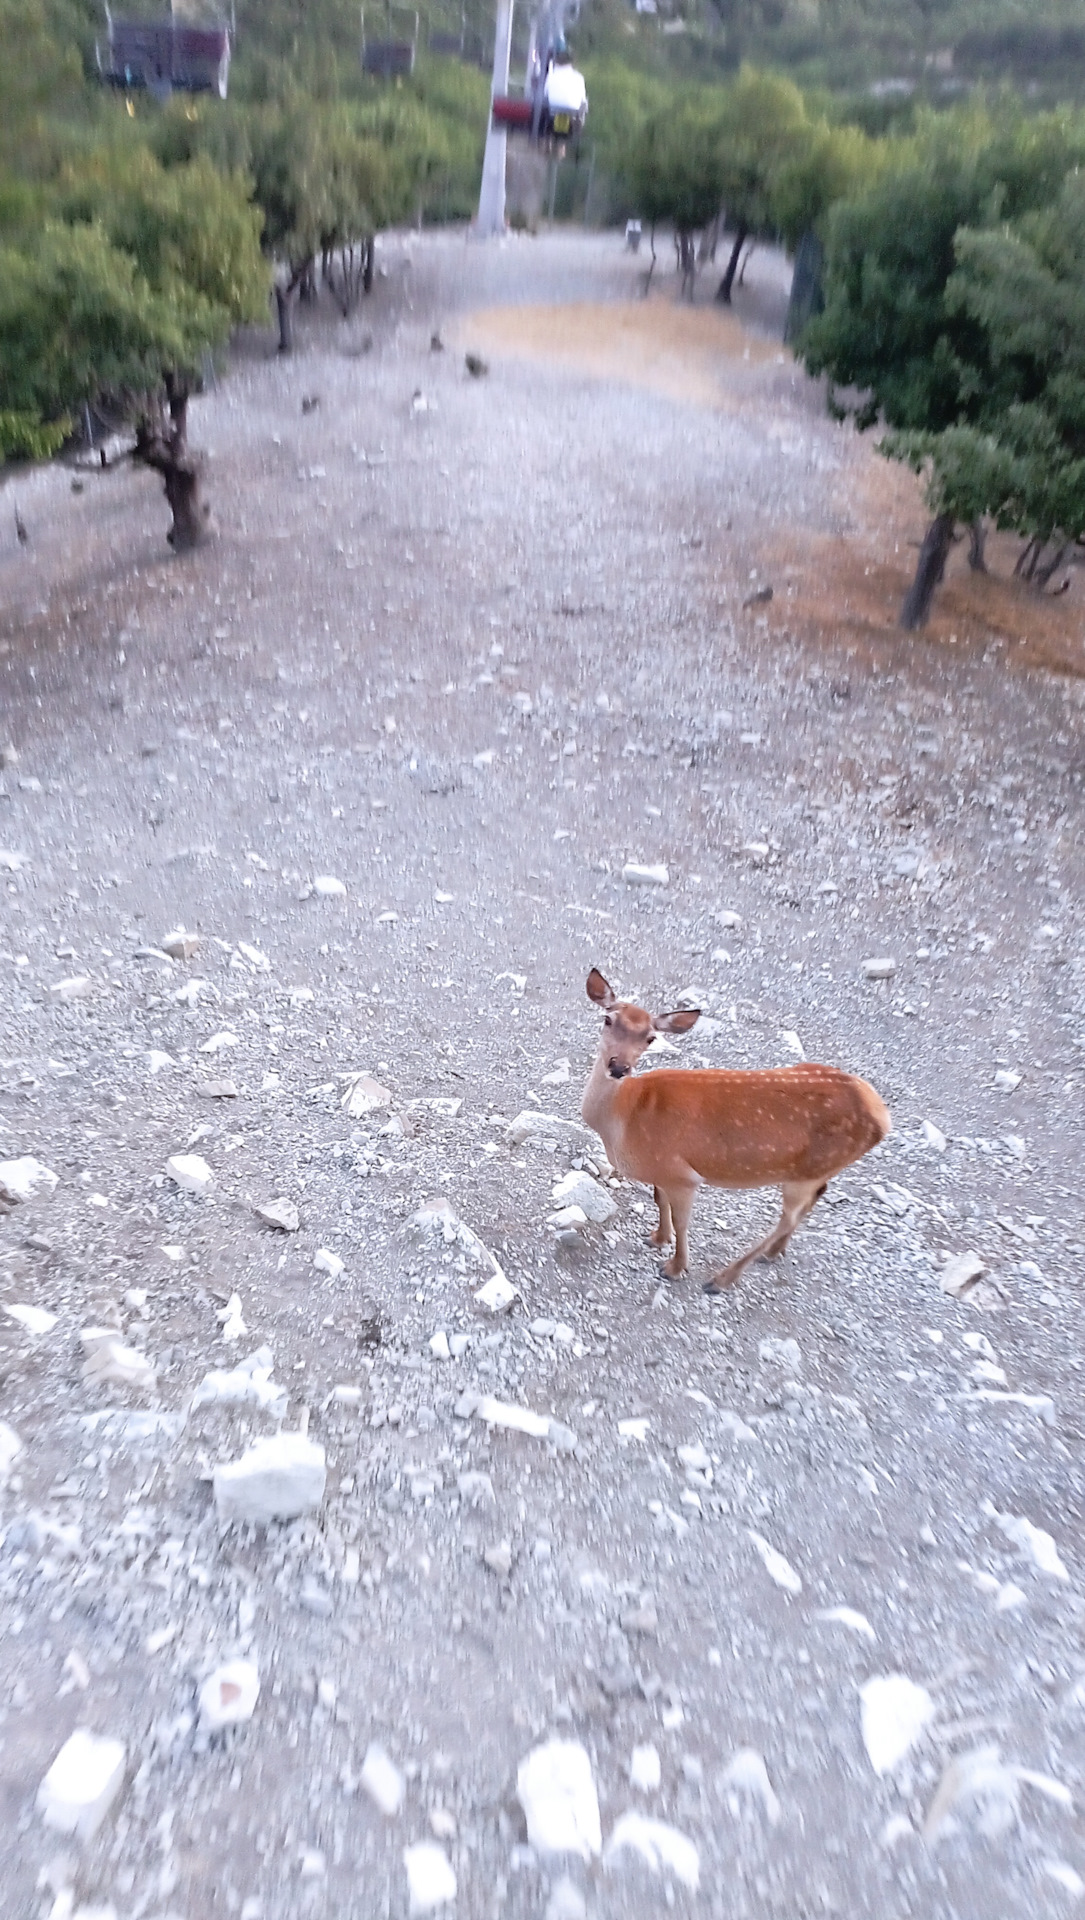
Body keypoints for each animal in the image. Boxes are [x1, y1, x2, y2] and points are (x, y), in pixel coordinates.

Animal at [583, 975, 887, 1290]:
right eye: (608, 1018)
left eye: (650, 1038)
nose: (619, 1067)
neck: (625, 1117)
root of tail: (881, 1114)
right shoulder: (664, 1171)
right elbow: (659, 1199)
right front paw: (657, 1238)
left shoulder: (682, 1173)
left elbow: (682, 1221)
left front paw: (676, 1267)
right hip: (818, 1169)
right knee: (814, 1199)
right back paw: (774, 1252)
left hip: (807, 1173)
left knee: (788, 1217)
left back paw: (723, 1278)